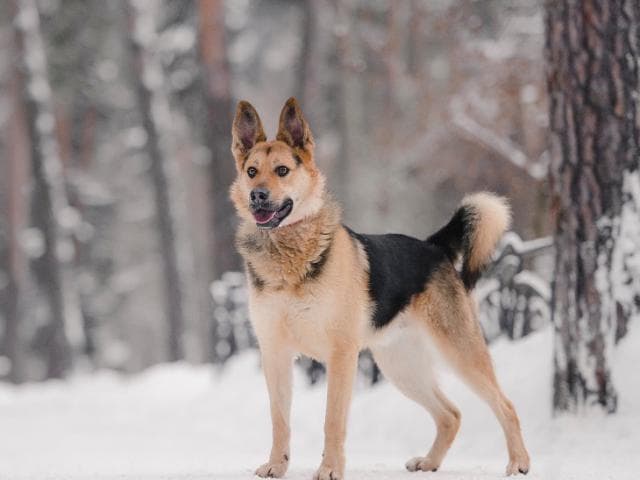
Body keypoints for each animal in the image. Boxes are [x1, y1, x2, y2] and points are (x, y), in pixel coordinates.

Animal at [230, 98, 528, 480]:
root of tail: (433, 246)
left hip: (458, 353)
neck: (289, 255)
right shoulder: (275, 353)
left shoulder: (341, 356)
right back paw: (430, 462)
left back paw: (519, 462)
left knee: (506, 405)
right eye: (252, 171)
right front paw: (276, 465)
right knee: (451, 414)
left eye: (282, 171)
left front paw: (330, 469)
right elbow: (279, 418)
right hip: (400, 366)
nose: (257, 196)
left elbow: (333, 420)